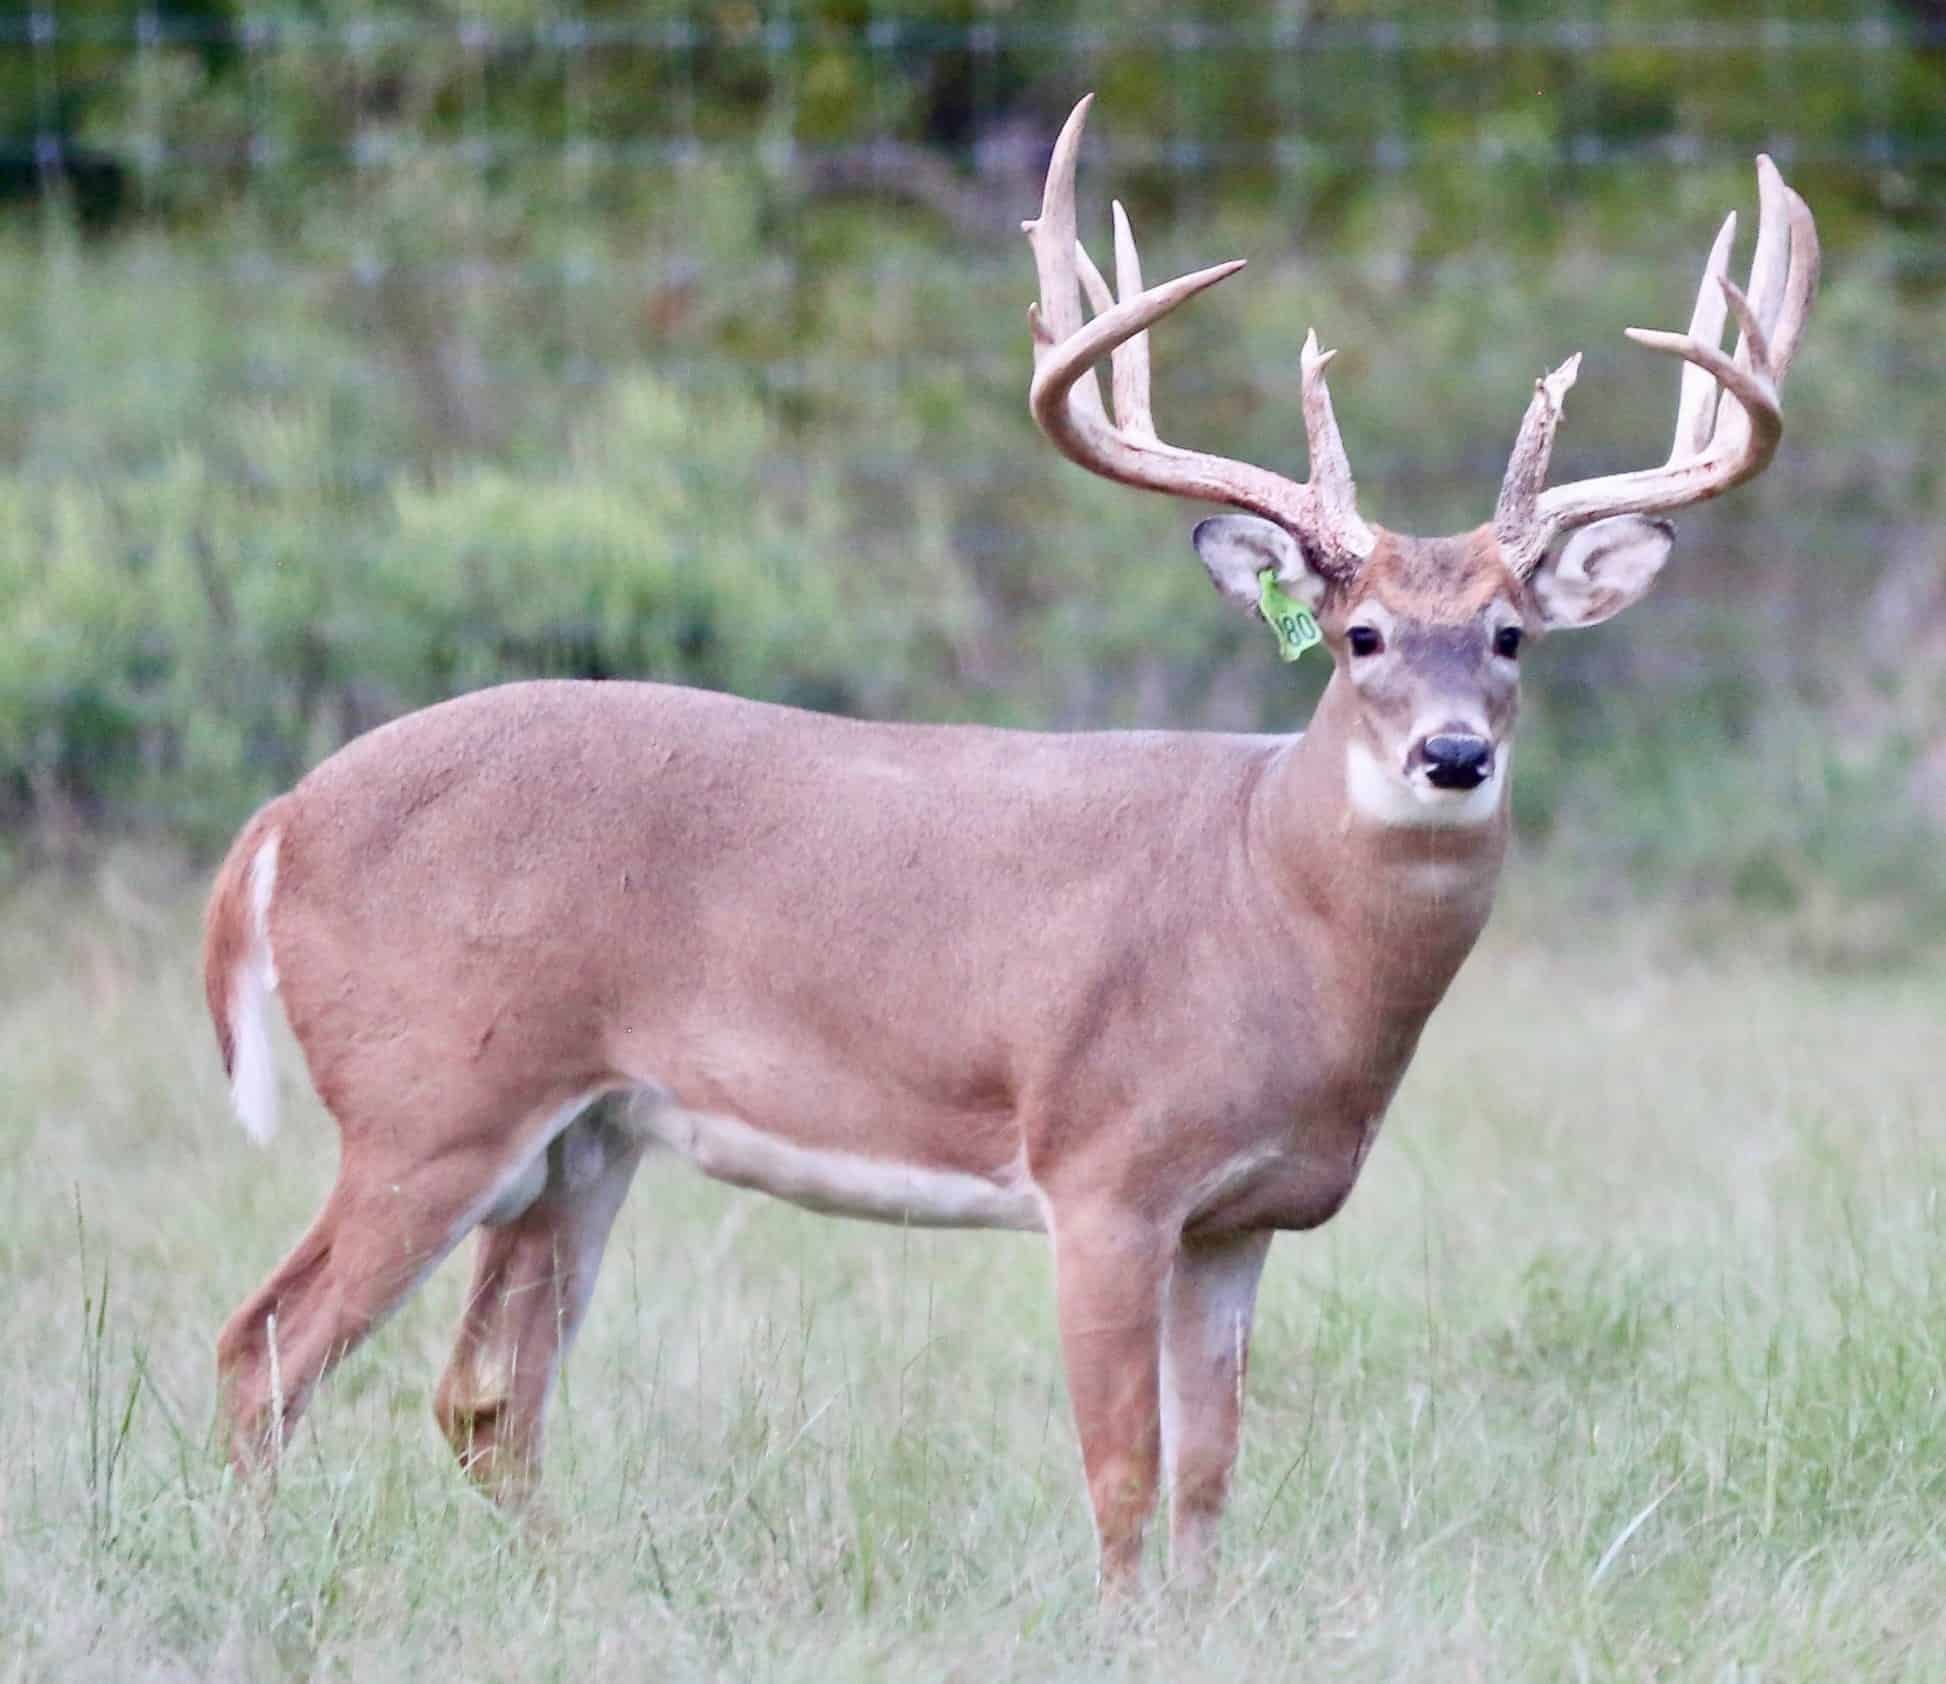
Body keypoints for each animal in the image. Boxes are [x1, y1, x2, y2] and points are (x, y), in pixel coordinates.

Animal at [201, 95, 1817, 1594]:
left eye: (1509, 636)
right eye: (1358, 634)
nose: (1454, 754)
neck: (1268, 905)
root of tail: (280, 820)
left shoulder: (1239, 1217)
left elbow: (1209, 1474)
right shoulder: (1102, 1165)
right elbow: (1121, 1468)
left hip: (580, 1132)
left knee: (483, 1398)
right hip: (430, 1096)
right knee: (265, 1347)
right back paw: (258, 1578)